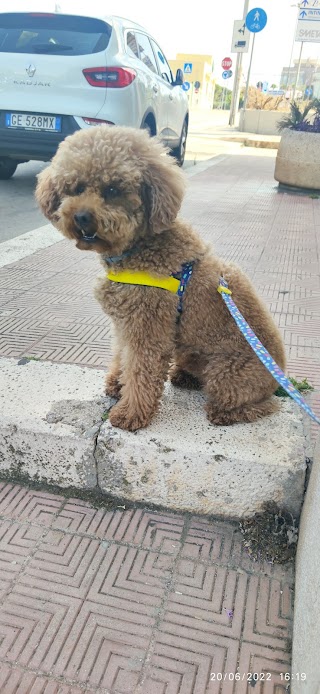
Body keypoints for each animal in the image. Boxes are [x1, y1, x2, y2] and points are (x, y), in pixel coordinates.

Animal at [36, 125, 286, 430]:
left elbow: (141, 371)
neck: (138, 247)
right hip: (191, 352)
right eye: (77, 187)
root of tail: (278, 377)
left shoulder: (148, 325)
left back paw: (225, 412)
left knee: (262, 405)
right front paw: (117, 384)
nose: (81, 216)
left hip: (226, 375)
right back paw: (185, 376)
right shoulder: (125, 324)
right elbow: (123, 357)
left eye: (112, 189)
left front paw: (130, 413)